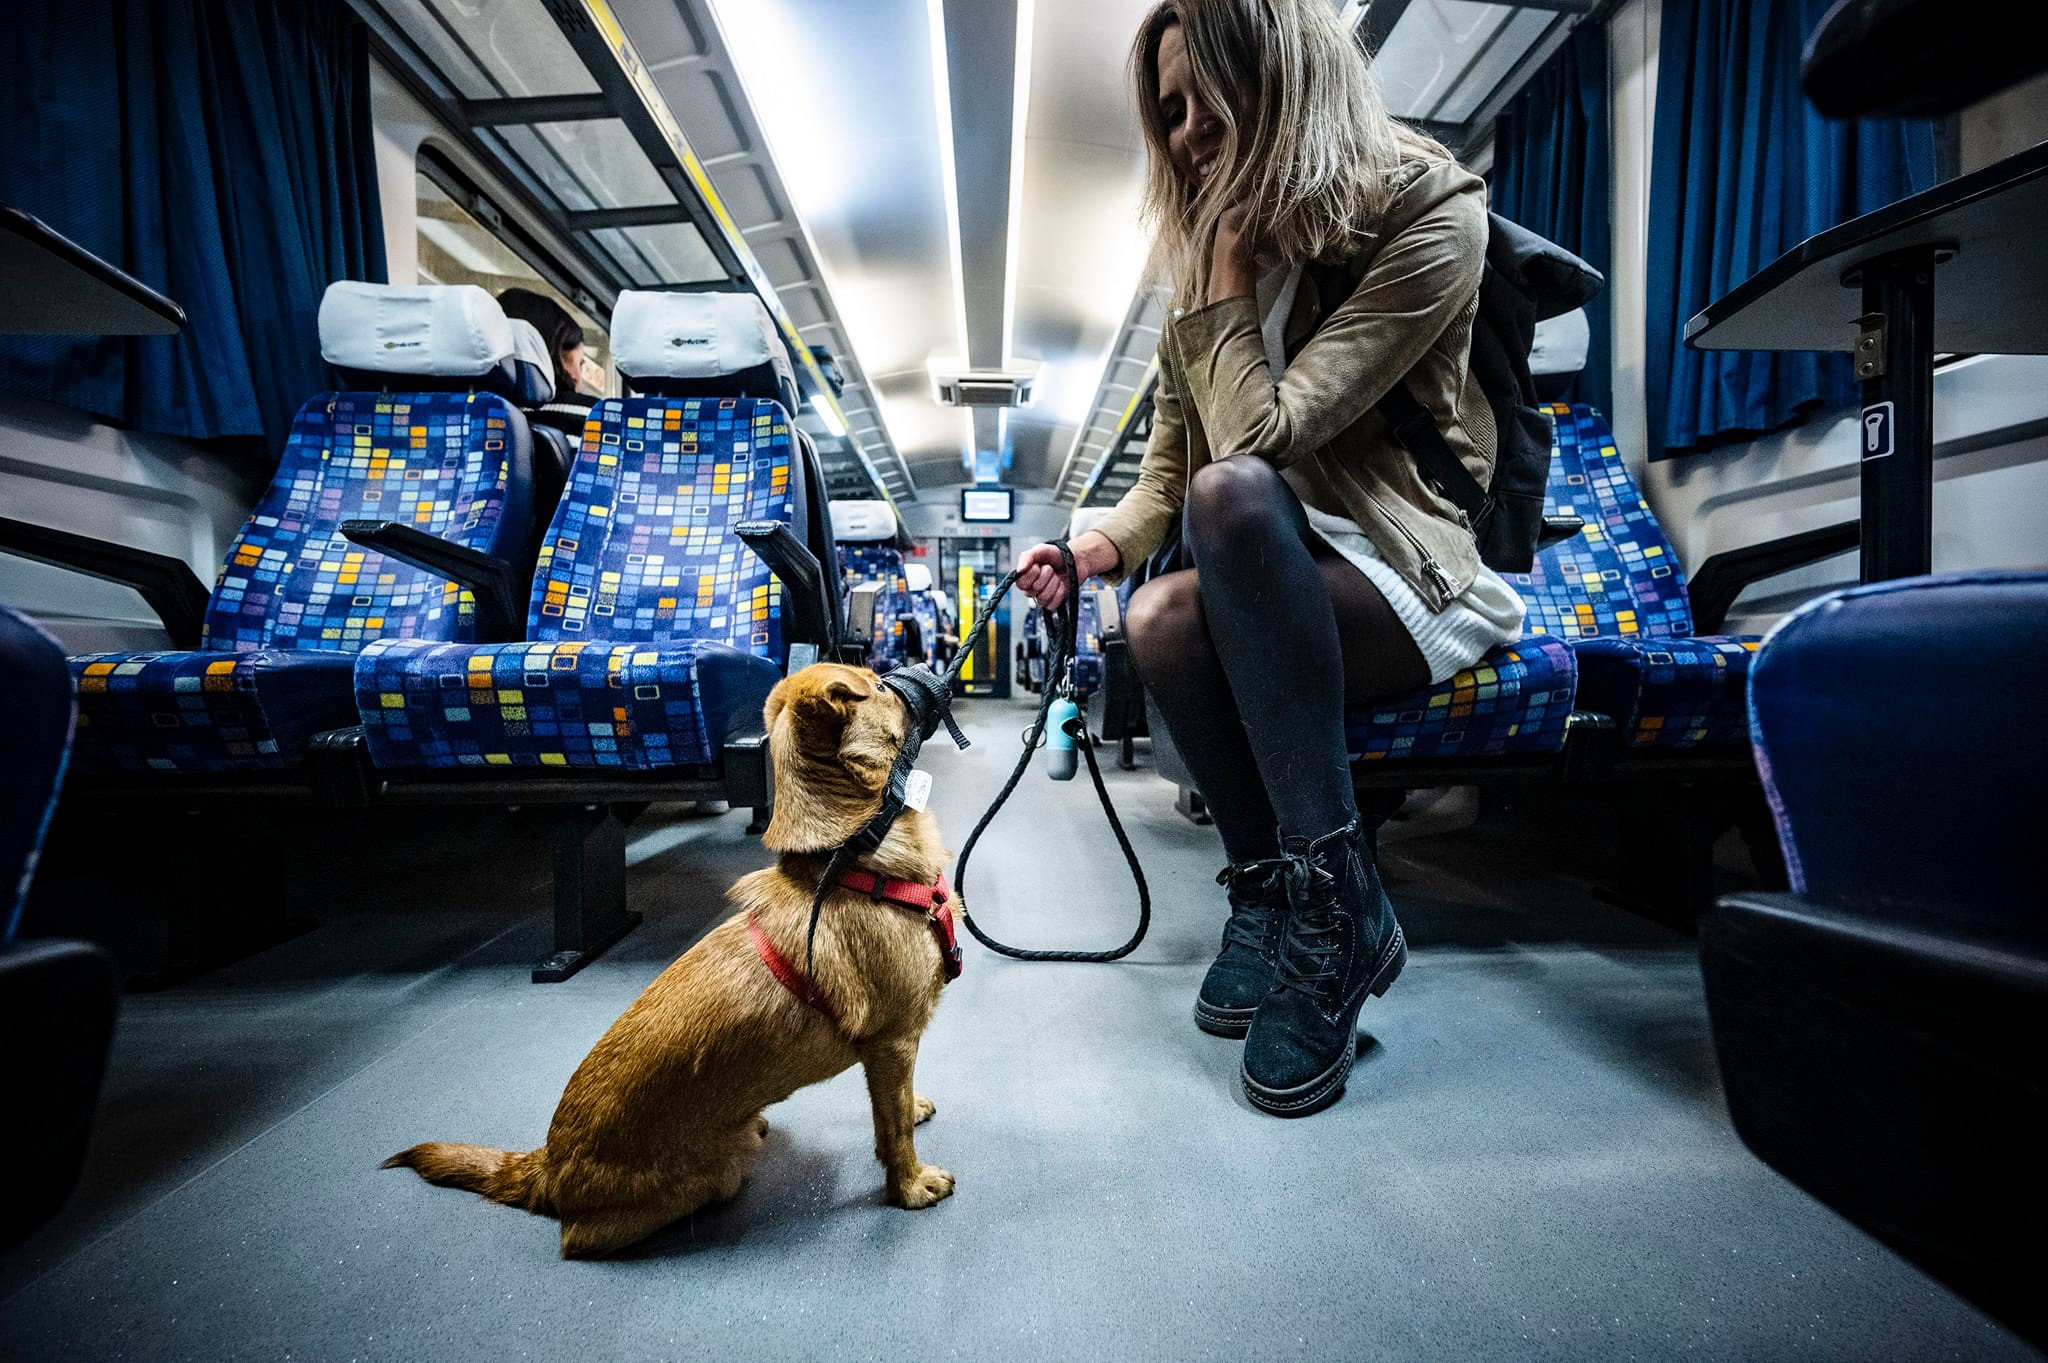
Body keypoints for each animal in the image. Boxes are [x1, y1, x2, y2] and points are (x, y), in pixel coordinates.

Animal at [387, 658, 962, 1252]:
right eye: (881, 684)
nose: (922, 663)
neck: (854, 860)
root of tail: (547, 1167)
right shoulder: (892, 1042)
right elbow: (893, 1130)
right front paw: (910, 1186)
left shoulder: (887, 1055)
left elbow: (893, 1108)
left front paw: (913, 1110)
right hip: (711, 1177)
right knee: (584, 1236)